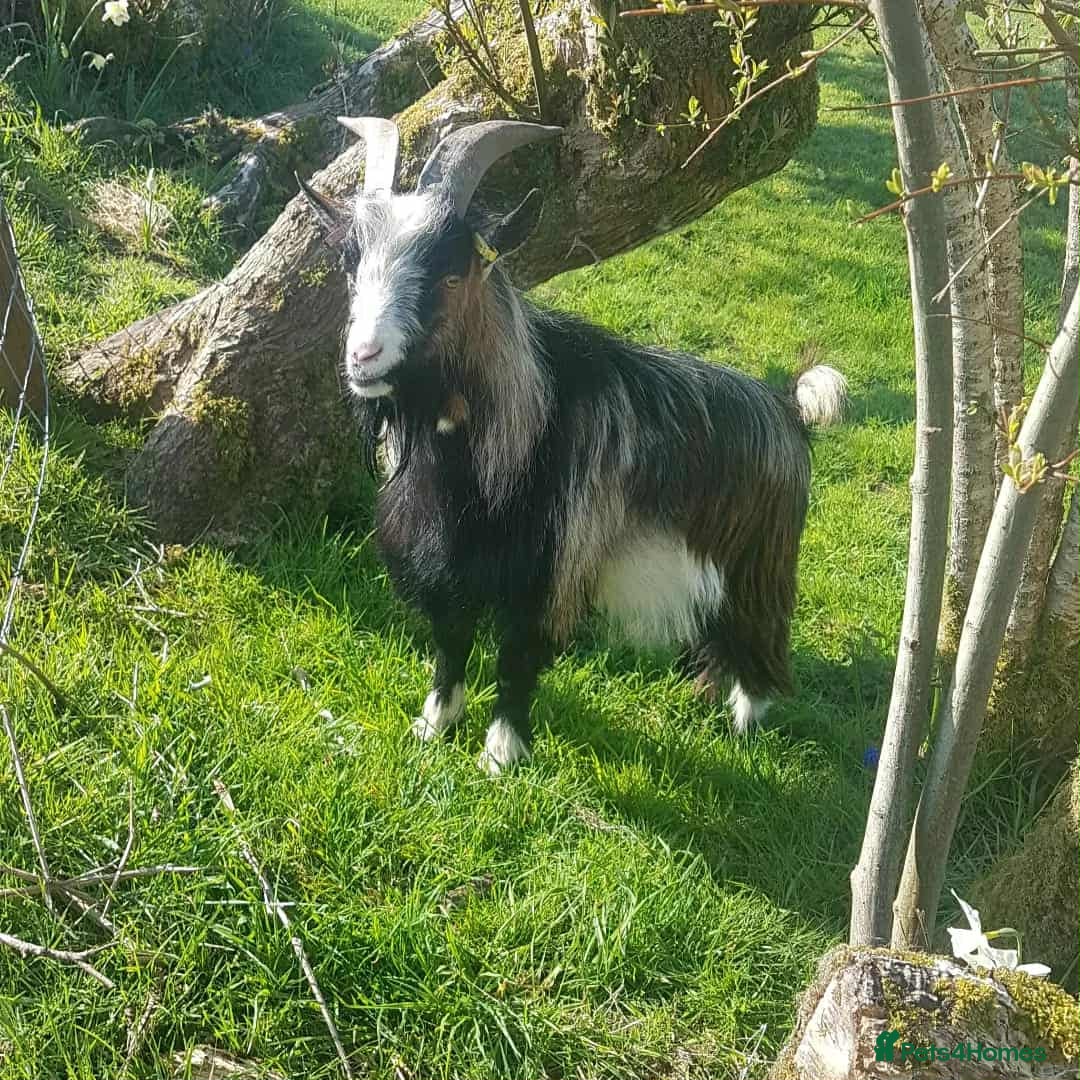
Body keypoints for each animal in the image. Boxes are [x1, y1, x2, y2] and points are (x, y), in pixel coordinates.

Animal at [300, 117, 848, 774]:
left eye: (451, 273)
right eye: (350, 264)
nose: (364, 357)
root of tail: (788, 411)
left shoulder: (550, 569)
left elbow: (516, 661)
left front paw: (500, 755)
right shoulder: (445, 567)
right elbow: (450, 646)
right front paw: (433, 726)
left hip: (760, 565)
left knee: (759, 641)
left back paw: (745, 723)